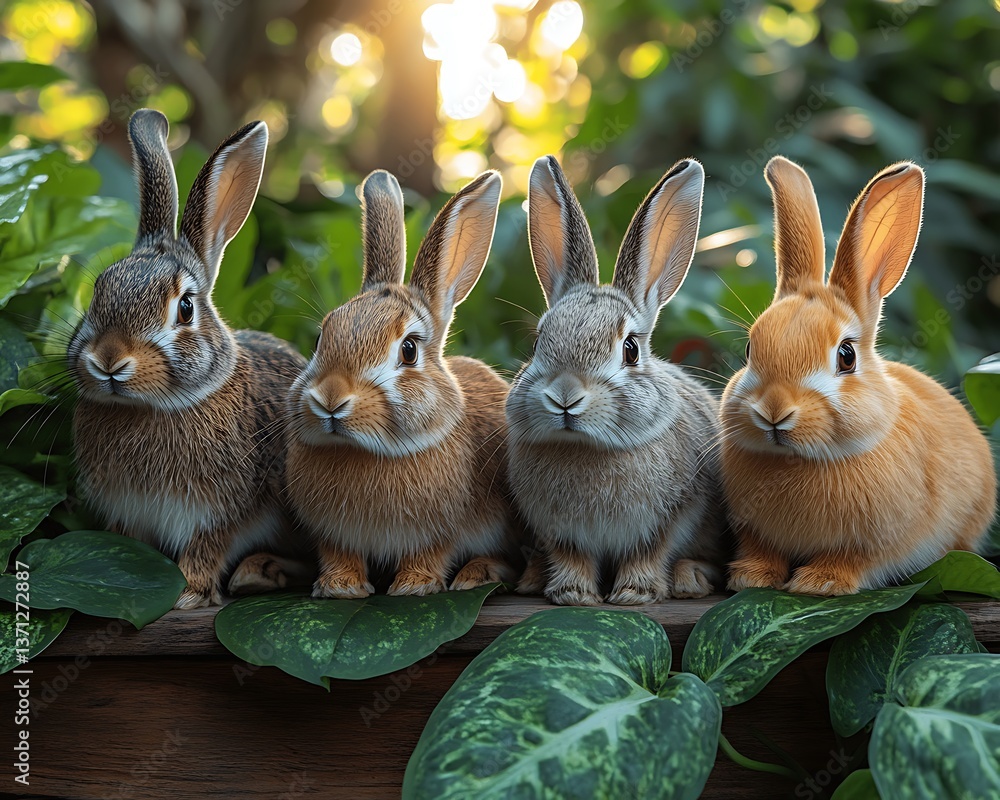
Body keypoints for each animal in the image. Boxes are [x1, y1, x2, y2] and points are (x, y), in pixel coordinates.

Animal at [67, 109, 312, 609]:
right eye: (99, 291)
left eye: (184, 308)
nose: (108, 360)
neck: (151, 409)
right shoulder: (129, 515)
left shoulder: (224, 513)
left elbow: (207, 549)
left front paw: (187, 594)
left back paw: (259, 573)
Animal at [285, 168, 520, 599]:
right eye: (320, 339)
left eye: (409, 350)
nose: (330, 398)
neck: (367, 452)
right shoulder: (333, 535)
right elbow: (339, 555)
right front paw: (340, 588)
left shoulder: (443, 530)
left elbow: (431, 554)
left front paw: (414, 586)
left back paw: (475, 575)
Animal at [505, 155, 727, 606]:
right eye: (538, 341)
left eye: (630, 350)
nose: (566, 396)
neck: (586, 448)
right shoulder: (557, 530)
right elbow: (571, 556)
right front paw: (573, 595)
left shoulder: (673, 514)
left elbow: (650, 551)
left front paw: (633, 594)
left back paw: (689, 579)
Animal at [723, 156, 997, 596]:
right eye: (750, 351)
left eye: (847, 356)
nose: (774, 412)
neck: (803, 460)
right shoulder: (754, 532)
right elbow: (762, 550)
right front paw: (751, 577)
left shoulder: (881, 542)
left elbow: (855, 560)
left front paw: (819, 583)